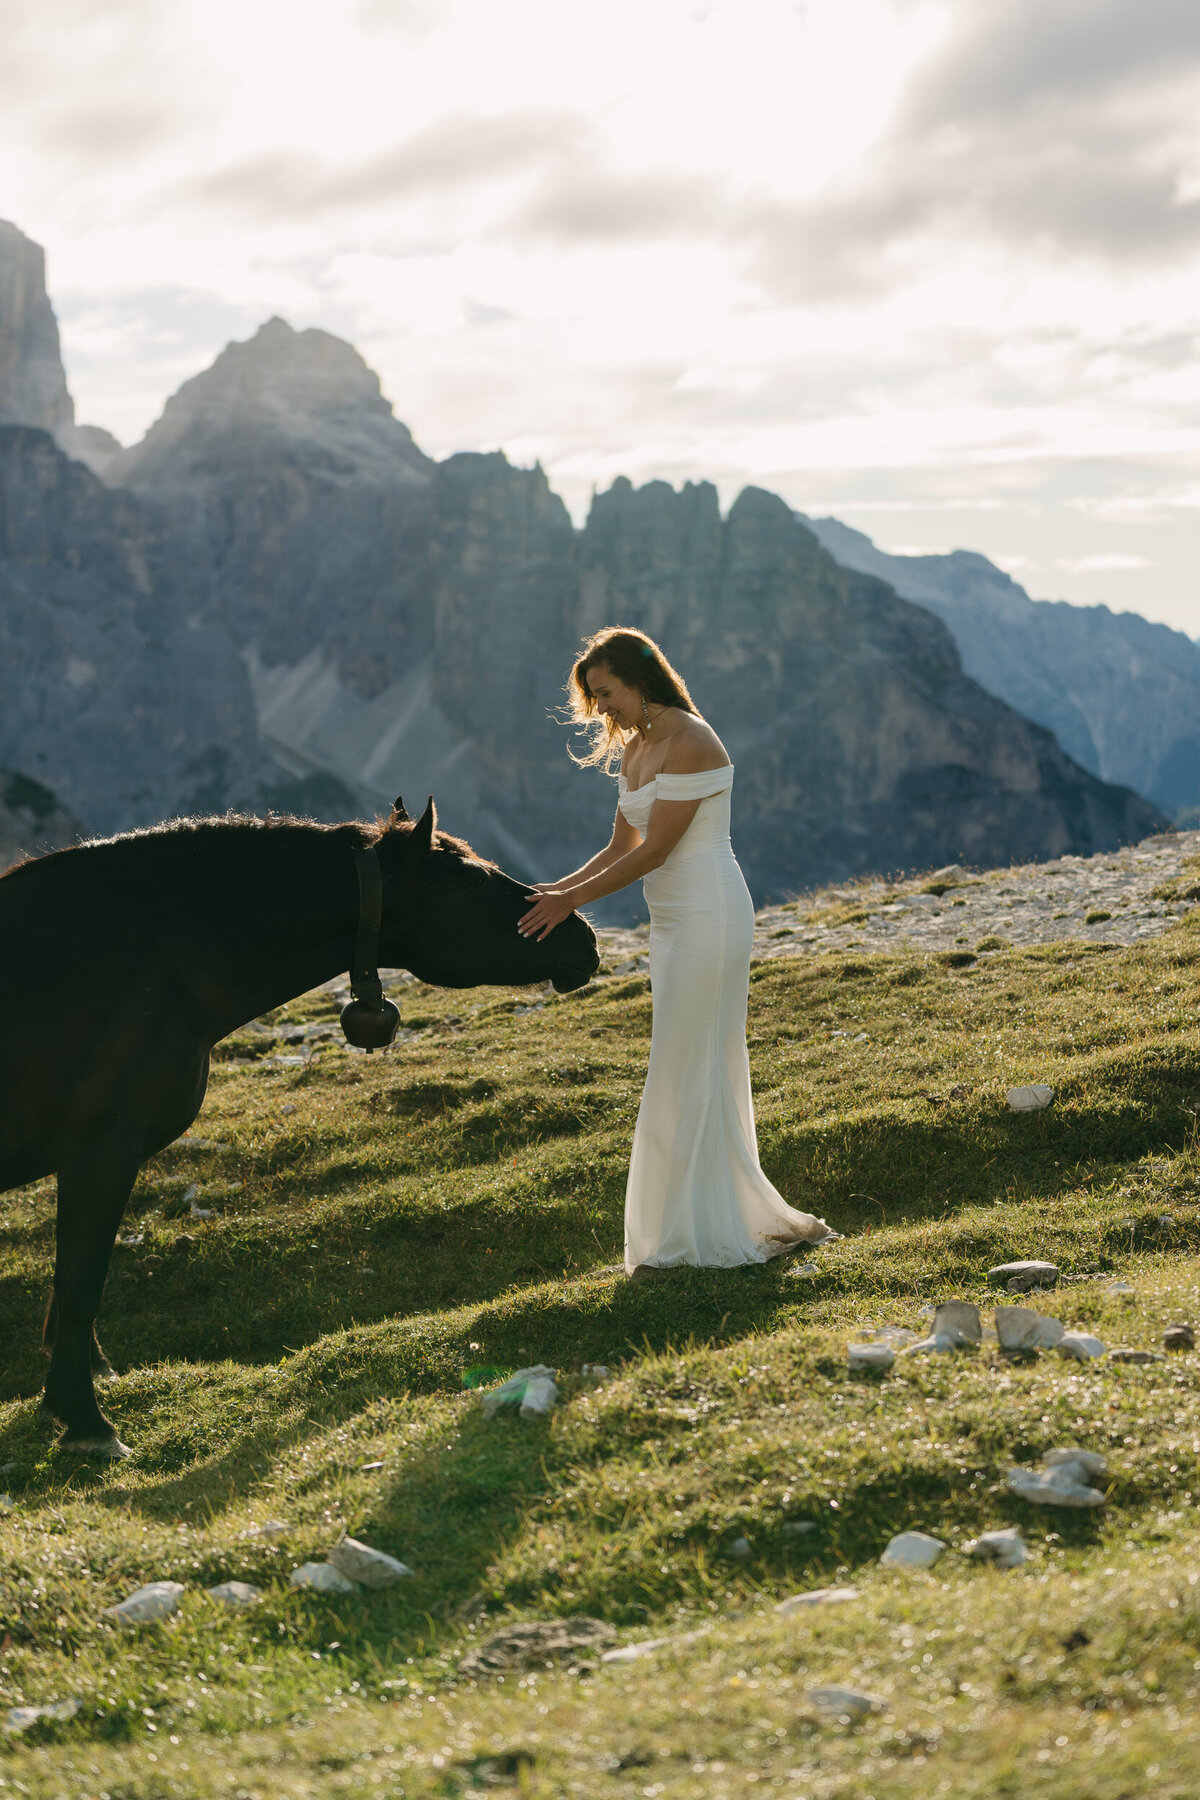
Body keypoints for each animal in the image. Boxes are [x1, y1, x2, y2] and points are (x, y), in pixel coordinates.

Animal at [0, 802, 600, 1461]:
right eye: (470, 879)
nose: (585, 937)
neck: (152, 959)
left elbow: (74, 1282)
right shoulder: (100, 1148)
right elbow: (82, 1279)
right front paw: (86, 1421)